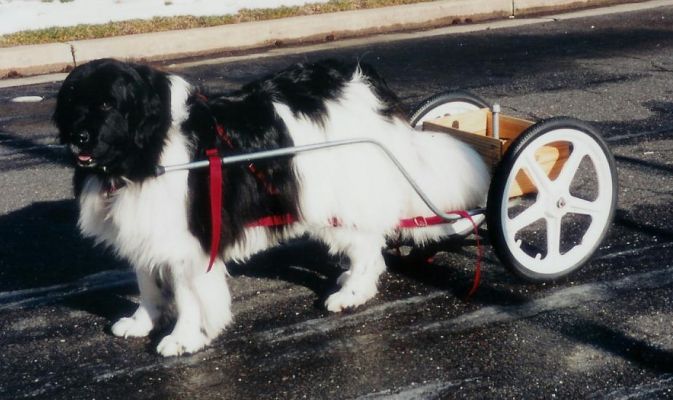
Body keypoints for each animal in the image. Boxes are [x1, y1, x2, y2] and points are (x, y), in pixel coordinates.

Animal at [52, 58, 488, 356]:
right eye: (73, 104)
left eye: (108, 104)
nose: (79, 137)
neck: (147, 149)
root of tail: (363, 85)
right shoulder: (146, 230)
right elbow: (148, 285)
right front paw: (142, 322)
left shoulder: (188, 242)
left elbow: (189, 296)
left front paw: (183, 337)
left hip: (333, 198)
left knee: (368, 249)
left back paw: (350, 293)